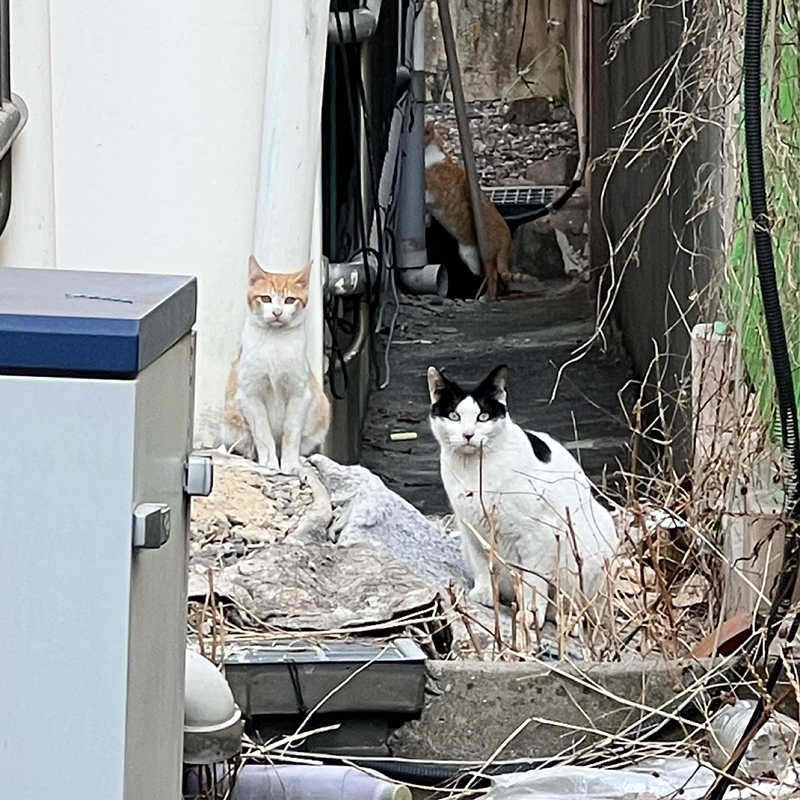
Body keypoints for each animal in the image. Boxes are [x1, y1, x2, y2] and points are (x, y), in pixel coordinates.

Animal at [220, 258, 330, 476]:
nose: (277, 312)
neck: (274, 342)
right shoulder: (251, 396)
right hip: (232, 422)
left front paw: (290, 465)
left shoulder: (299, 394)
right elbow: (263, 435)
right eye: (266, 298)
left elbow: (291, 434)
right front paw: (270, 464)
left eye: (289, 300)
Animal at [422, 122, 536, 300]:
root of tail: (506, 238)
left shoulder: (431, 194)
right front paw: (426, 221)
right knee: (499, 280)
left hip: (476, 257)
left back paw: (486, 298)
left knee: (493, 277)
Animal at [424, 364, 620, 632]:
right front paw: (485, 594)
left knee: (572, 601)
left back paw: (563, 617)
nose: (468, 435)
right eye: (454, 416)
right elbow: (482, 562)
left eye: (483, 417)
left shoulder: (538, 535)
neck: (473, 471)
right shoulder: (471, 528)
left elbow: (533, 581)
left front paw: (529, 614)